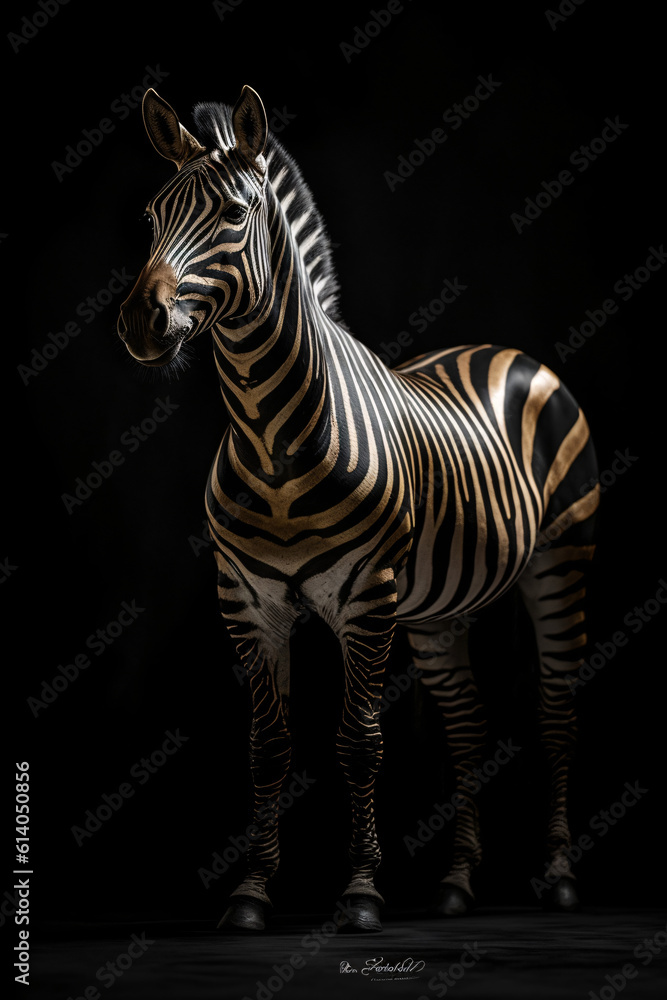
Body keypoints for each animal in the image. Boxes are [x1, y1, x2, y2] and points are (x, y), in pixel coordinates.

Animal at [117, 86, 599, 933]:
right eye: (151, 215)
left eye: (234, 214)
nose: (142, 321)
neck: (271, 436)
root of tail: (504, 353)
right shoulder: (248, 602)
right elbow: (267, 746)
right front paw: (251, 893)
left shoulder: (366, 598)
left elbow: (359, 742)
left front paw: (362, 892)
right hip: (439, 610)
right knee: (467, 727)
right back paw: (456, 885)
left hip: (558, 563)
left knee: (553, 715)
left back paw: (558, 875)